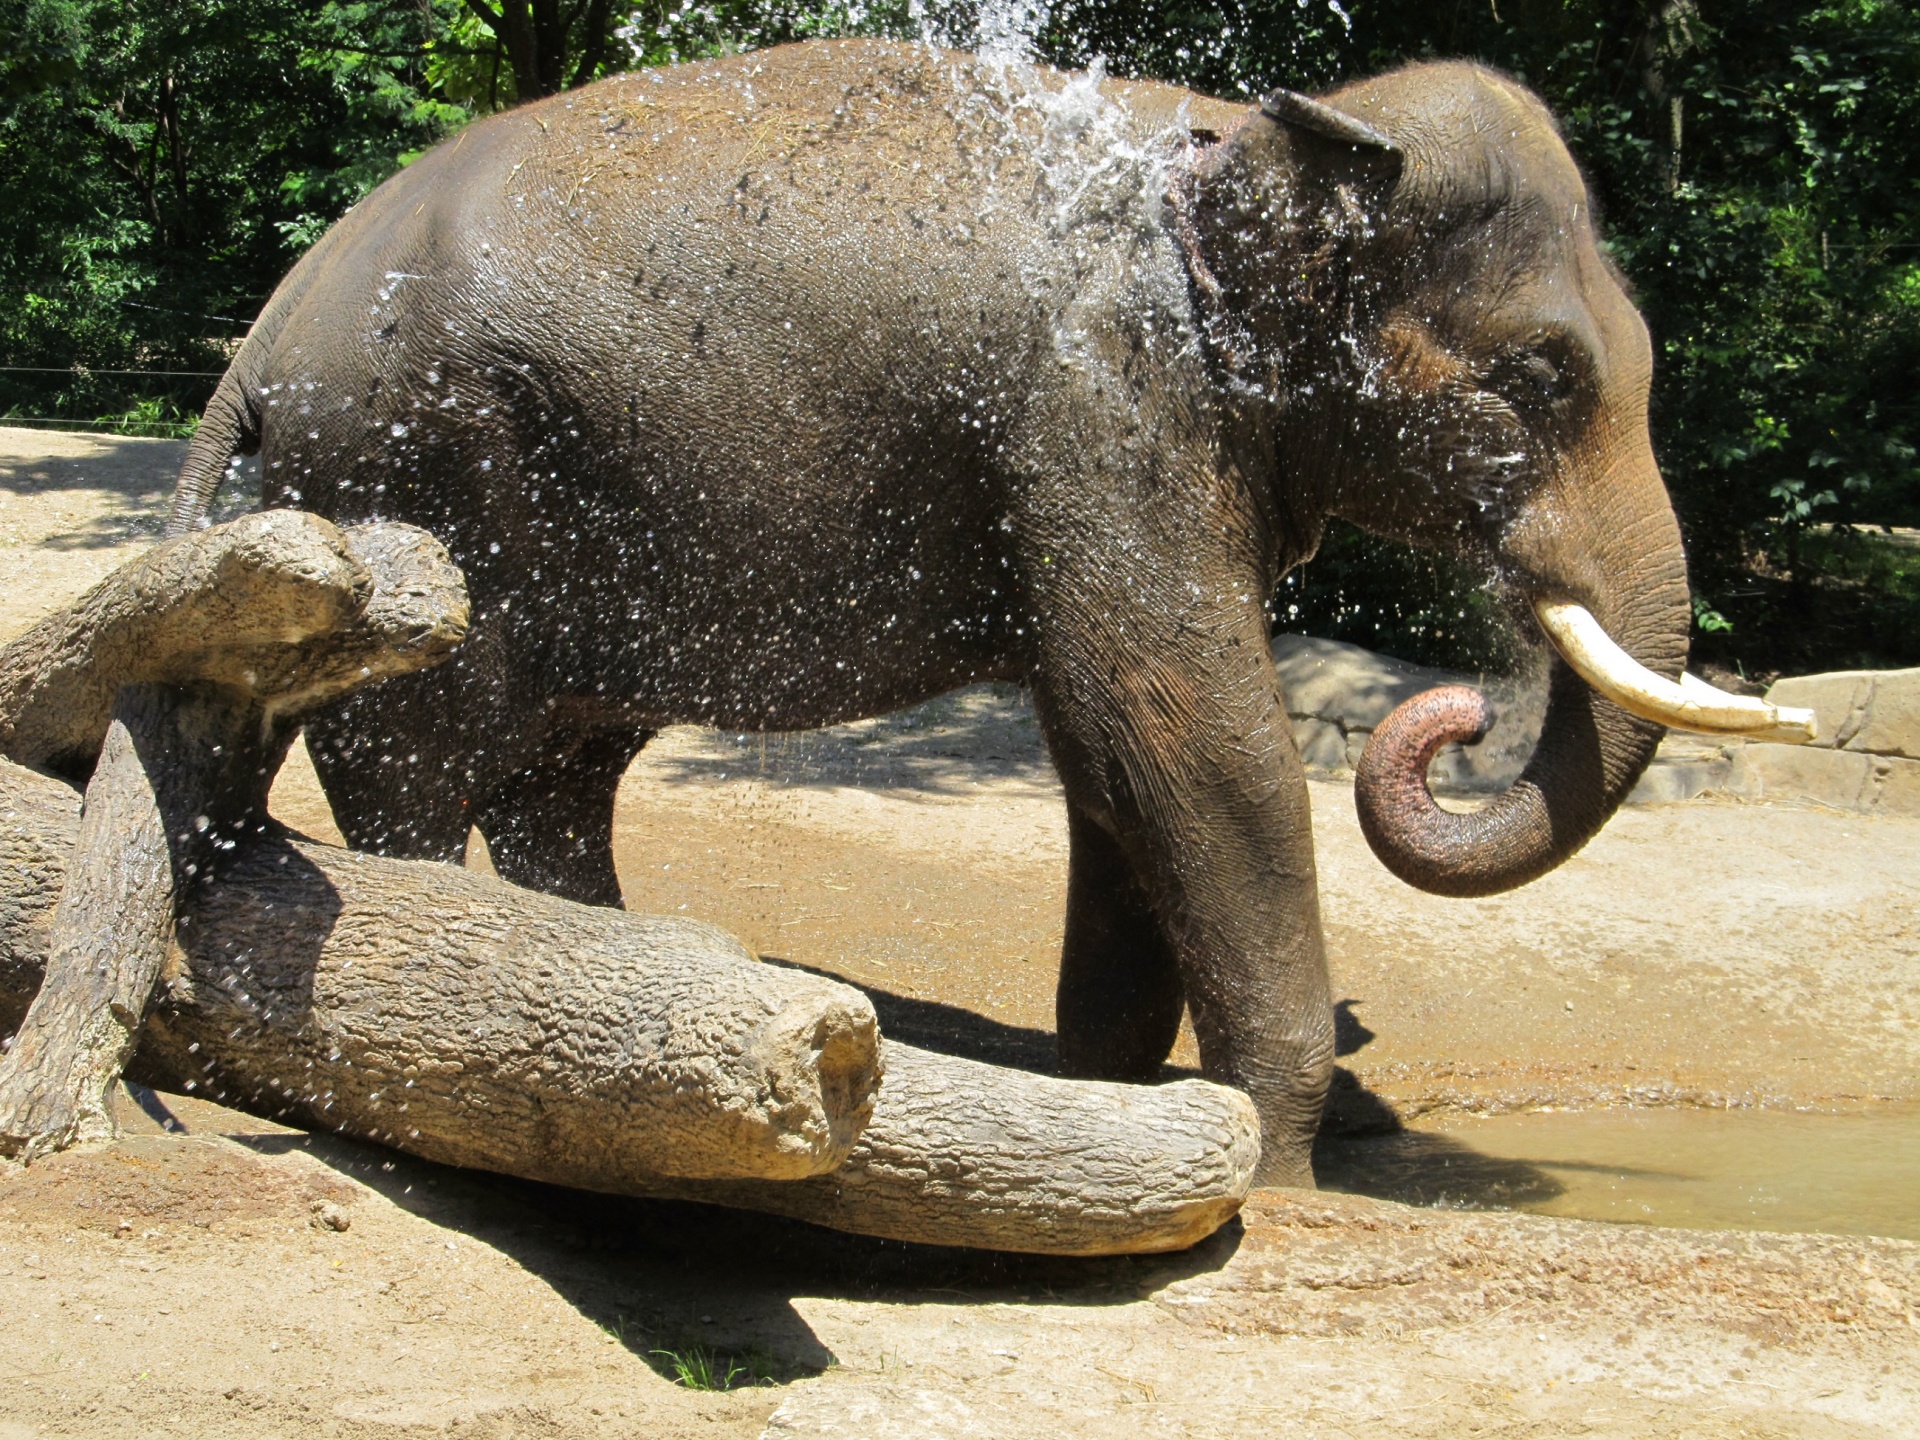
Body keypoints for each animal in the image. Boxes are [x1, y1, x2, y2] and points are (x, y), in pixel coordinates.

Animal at [165, 42, 1781, 1182]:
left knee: (561, 773)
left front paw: (1118, 1086)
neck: (1260, 131)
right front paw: (1280, 1156)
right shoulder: (1105, 411)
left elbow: (1113, 762)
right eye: (1538, 381)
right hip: (415, 484)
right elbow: (1192, 733)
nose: (1451, 722)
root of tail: (261, 333)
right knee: (420, 766)